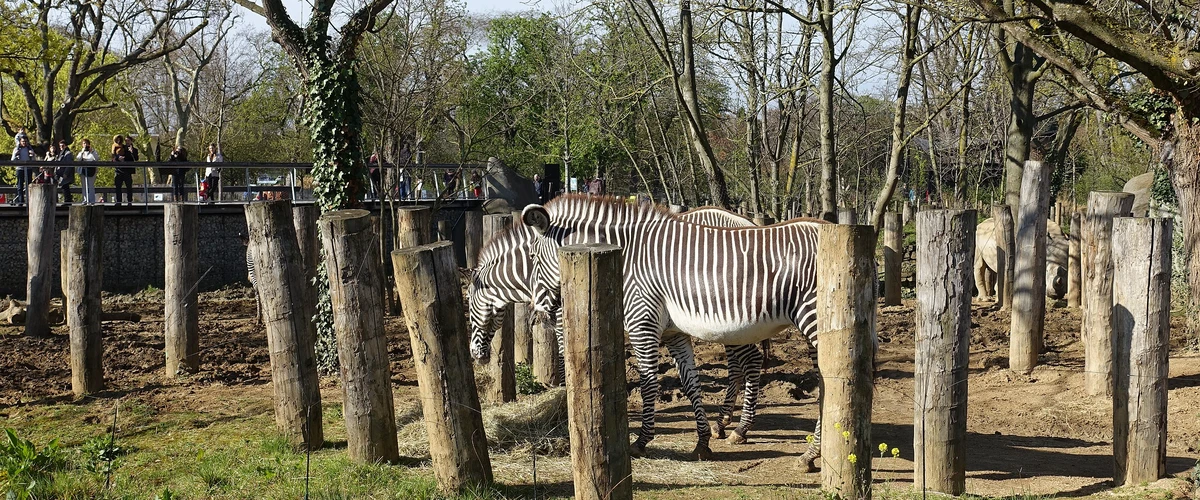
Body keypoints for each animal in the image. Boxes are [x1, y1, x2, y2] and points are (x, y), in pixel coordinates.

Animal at [465, 194, 844, 467]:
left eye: (533, 256)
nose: (546, 309)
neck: (624, 258)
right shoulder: (673, 332)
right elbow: (690, 384)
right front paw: (702, 442)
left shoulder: (640, 322)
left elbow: (647, 384)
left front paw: (640, 441)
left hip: (810, 318)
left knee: (824, 383)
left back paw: (806, 454)